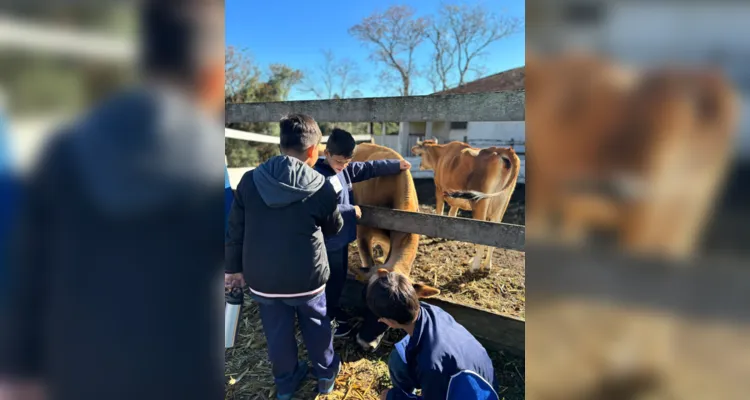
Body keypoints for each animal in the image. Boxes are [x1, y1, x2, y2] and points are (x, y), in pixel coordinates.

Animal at [412, 139, 524, 270]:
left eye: (421, 151)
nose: (419, 164)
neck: (441, 155)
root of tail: (504, 150)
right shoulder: (455, 200)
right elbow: (452, 214)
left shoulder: (439, 190)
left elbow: (440, 212)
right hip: (502, 203)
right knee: (495, 233)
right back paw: (487, 265)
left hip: (480, 203)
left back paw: (474, 266)